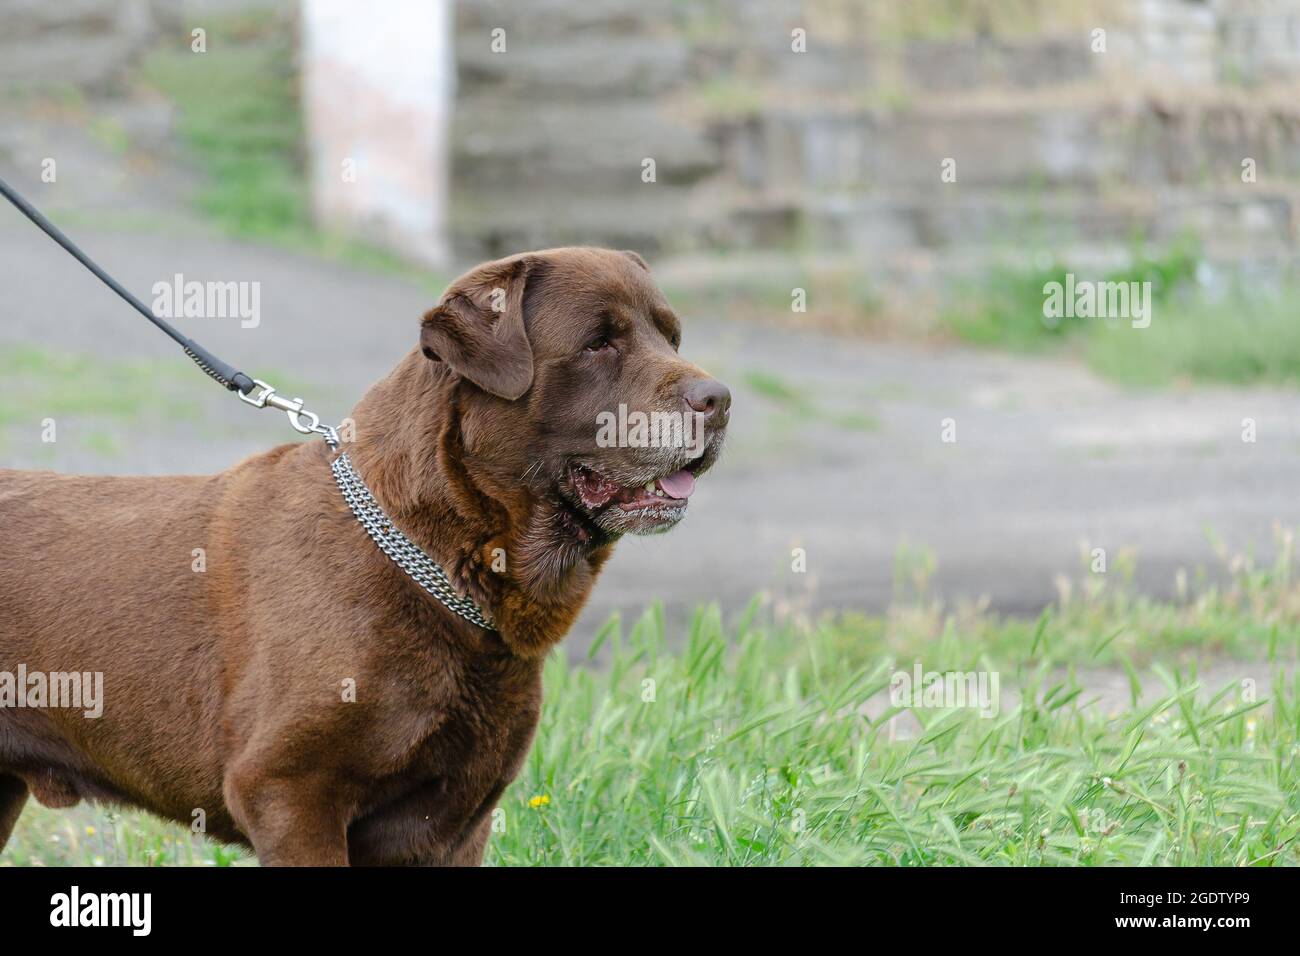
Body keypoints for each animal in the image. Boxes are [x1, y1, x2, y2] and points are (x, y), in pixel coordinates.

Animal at [0, 248, 733, 868]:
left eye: (672, 337)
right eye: (599, 342)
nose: (719, 399)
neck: (438, 563)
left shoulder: (453, 823)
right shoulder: (287, 789)